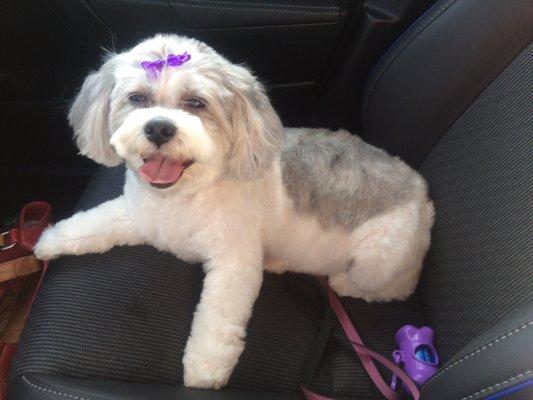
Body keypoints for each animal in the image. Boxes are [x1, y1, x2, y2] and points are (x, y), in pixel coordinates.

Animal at [34, 34, 432, 390]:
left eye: (196, 102)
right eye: (137, 99)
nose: (159, 127)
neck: (185, 195)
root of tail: (422, 193)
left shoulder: (233, 264)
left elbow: (218, 320)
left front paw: (204, 370)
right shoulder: (138, 216)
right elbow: (91, 223)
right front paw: (48, 241)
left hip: (379, 258)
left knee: (390, 286)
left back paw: (344, 280)